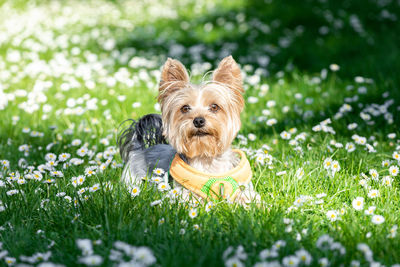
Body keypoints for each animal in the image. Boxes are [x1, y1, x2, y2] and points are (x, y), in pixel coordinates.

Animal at [117, 55, 260, 204]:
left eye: (215, 107)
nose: (198, 120)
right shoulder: (181, 192)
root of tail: (139, 149)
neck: (205, 157)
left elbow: (248, 196)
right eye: (185, 108)